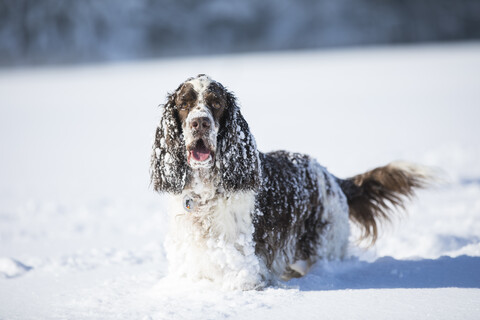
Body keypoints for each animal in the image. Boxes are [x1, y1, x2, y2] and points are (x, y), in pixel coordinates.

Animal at [150, 74, 428, 290]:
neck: (206, 192)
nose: (200, 122)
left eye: (216, 103)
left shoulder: (248, 271)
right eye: (184, 104)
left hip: (324, 246)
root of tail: (330, 176)